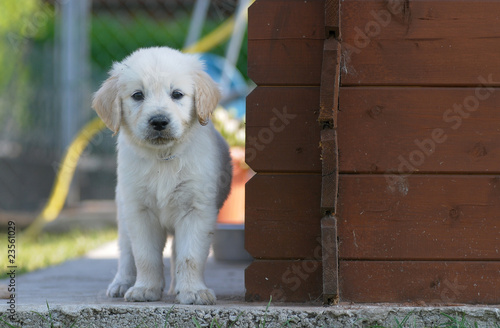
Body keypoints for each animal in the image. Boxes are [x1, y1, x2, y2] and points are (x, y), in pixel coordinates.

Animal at [92, 46, 232, 304]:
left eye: (177, 94)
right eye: (138, 95)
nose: (158, 121)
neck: (163, 157)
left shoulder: (196, 210)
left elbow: (190, 257)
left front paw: (193, 291)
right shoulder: (139, 211)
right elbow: (145, 256)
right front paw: (145, 288)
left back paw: (177, 287)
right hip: (122, 212)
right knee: (126, 253)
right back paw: (122, 283)